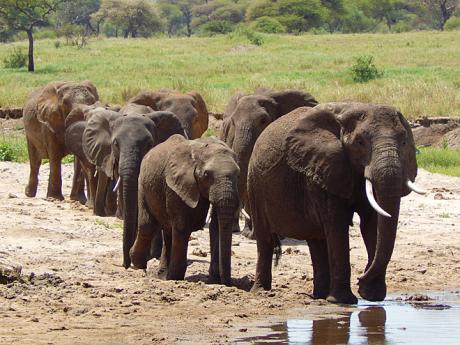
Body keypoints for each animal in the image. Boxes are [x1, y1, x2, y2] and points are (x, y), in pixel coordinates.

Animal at [127, 134, 239, 284]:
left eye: (238, 174)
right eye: (206, 175)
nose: (228, 283)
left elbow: (215, 226)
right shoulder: (175, 184)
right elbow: (182, 226)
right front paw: (175, 277)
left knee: (167, 229)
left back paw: (162, 275)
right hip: (143, 183)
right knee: (148, 225)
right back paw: (140, 265)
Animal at [246, 102, 426, 304]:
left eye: (404, 142)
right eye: (360, 143)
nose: (360, 278)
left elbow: (371, 225)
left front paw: (372, 296)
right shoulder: (323, 169)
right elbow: (337, 225)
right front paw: (344, 301)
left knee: (316, 239)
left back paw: (320, 296)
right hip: (255, 185)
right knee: (265, 239)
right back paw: (262, 291)